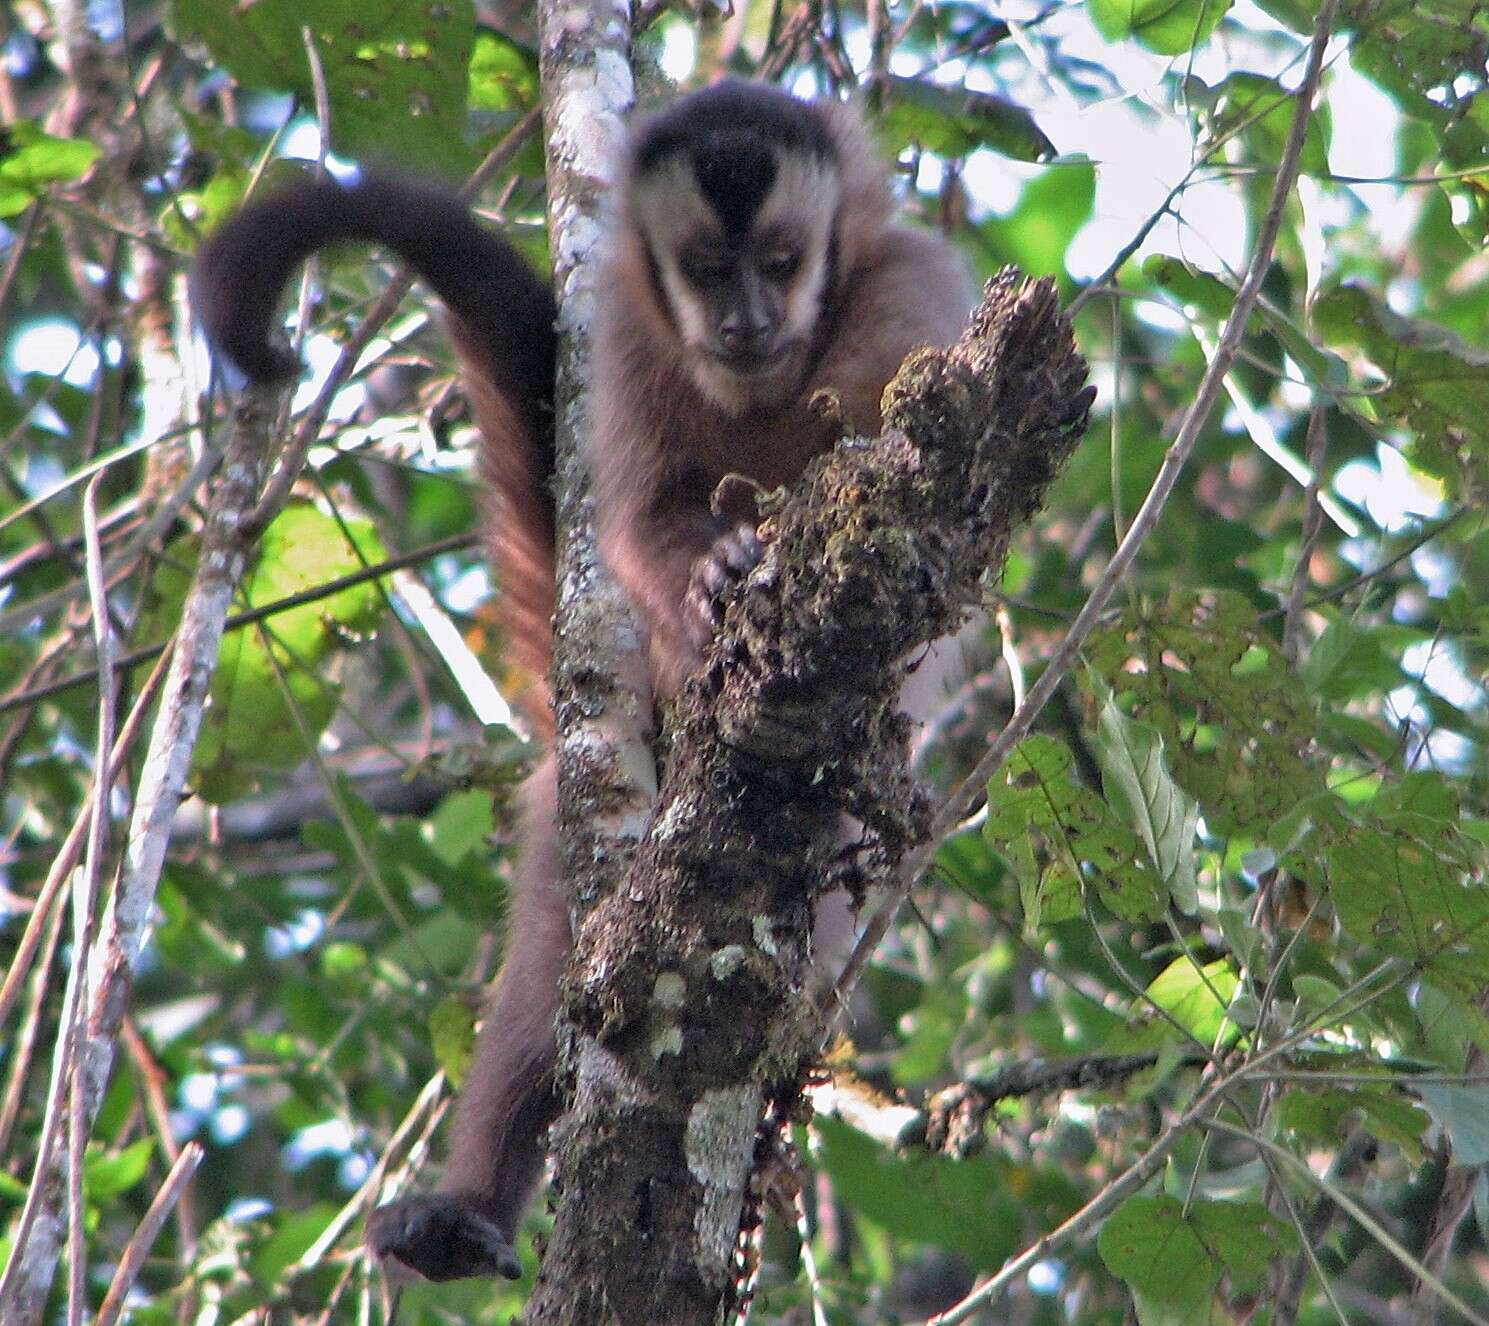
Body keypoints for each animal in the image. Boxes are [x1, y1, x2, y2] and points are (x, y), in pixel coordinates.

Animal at [189, 77, 976, 1279]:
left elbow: (897, 477)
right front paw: (711, 578)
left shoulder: (913, 284)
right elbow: (639, 519)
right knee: (573, 945)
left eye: (782, 259)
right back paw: (465, 1211)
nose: (747, 321)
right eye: (707, 268)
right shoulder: (626, 338)